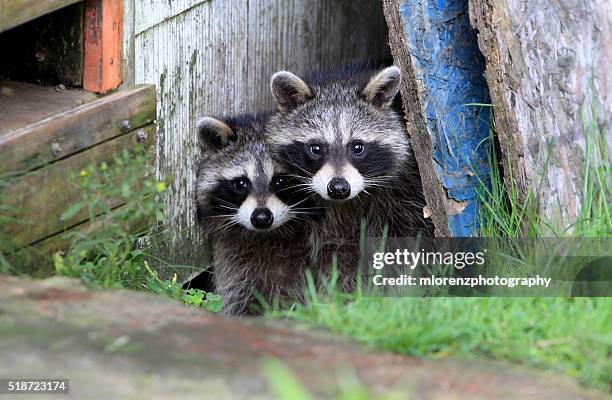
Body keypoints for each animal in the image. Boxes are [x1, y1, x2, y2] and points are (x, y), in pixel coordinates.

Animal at [195, 115, 320, 316]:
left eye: (280, 180)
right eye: (241, 183)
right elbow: (238, 297)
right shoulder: (233, 259)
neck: (268, 236)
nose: (261, 218)